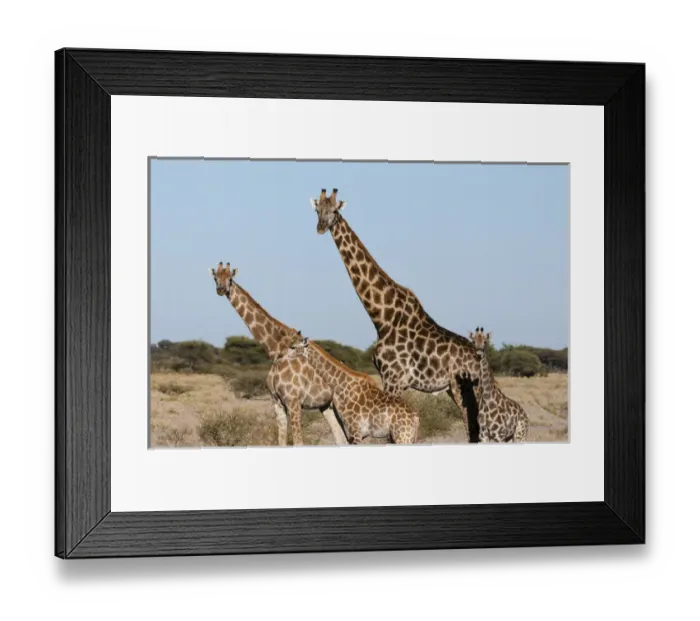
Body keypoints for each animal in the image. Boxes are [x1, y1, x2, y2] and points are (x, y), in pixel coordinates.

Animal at [210, 262, 347, 447]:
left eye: (230, 278)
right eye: (215, 277)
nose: (221, 289)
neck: (276, 351)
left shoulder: (293, 402)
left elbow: (298, 443)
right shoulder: (277, 403)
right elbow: (281, 442)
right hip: (327, 406)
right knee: (340, 439)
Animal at [283, 335, 420, 445]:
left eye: (293, 347)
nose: (284, 356)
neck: (343, 387)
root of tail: (416, 417)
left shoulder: (355, 431)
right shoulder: (356, 434)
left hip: (403, 436)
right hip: (401, 436)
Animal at [310, 189, 482, 442]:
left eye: (335, 211)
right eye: (317, 210)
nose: (321, 227)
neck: (383, 317)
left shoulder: (394, 378)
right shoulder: (387, 378)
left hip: (465, 390)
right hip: (454, 389)